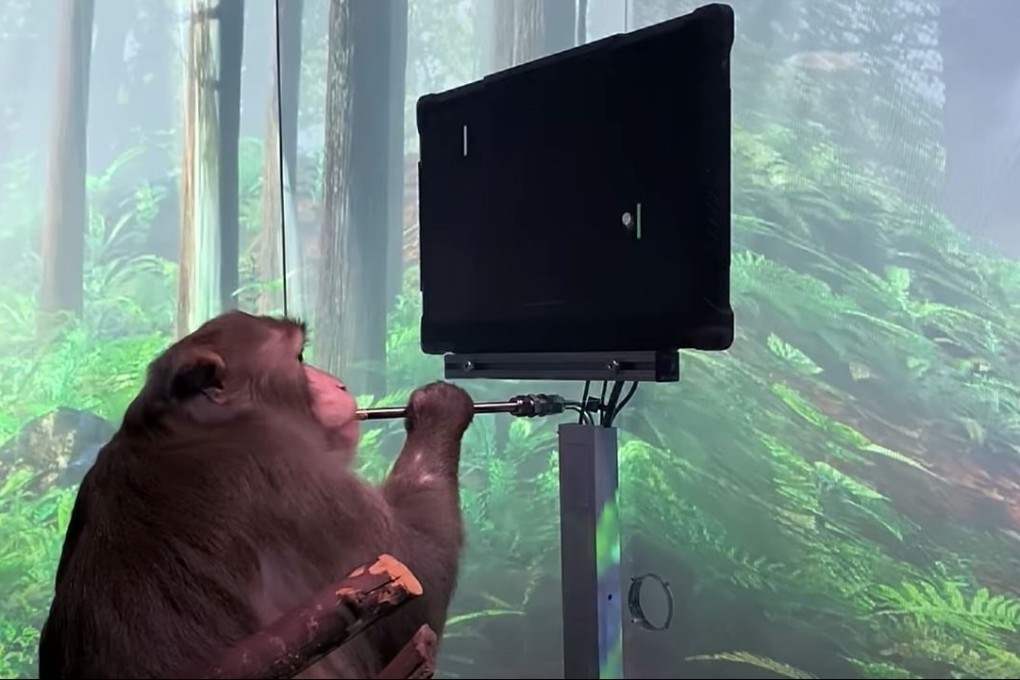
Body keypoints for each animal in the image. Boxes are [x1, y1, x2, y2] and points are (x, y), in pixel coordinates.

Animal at [36, 309, 475, 679]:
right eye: (299, 357)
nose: (340, 383)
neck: (192, 429)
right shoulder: (298, 476)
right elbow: (416, 584)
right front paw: (439, 408)